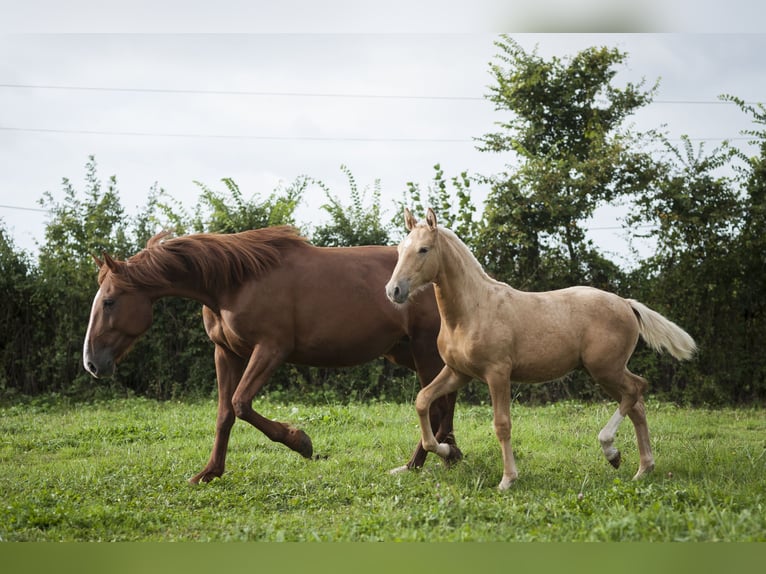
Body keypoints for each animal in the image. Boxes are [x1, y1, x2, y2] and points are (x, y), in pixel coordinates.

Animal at [82, 227, 462, 484]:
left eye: (109, 301)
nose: (92, 363)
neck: (235, 282)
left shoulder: (270, 350)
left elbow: (241, 404)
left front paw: (302, 442)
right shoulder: (226, 354)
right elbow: (224, 414)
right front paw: (209, 472)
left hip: (423, 350)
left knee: (434, 404)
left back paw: (422, 462)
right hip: (408, 352)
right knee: (445, 401)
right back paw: (446, 455)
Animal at [388, 209, 700, 492]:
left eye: (423, 249)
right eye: (400, 249)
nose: (393, 291)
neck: (472, 310)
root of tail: (626, 303)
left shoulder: (497, 374)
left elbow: (502, 424)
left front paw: (507, 480)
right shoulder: (458, 373)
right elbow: (422, 401)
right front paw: (446, 451)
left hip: (605, 369)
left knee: (636, 390)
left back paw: (611, 450)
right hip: (606, 372)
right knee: (637, 405)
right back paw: (641, 469)